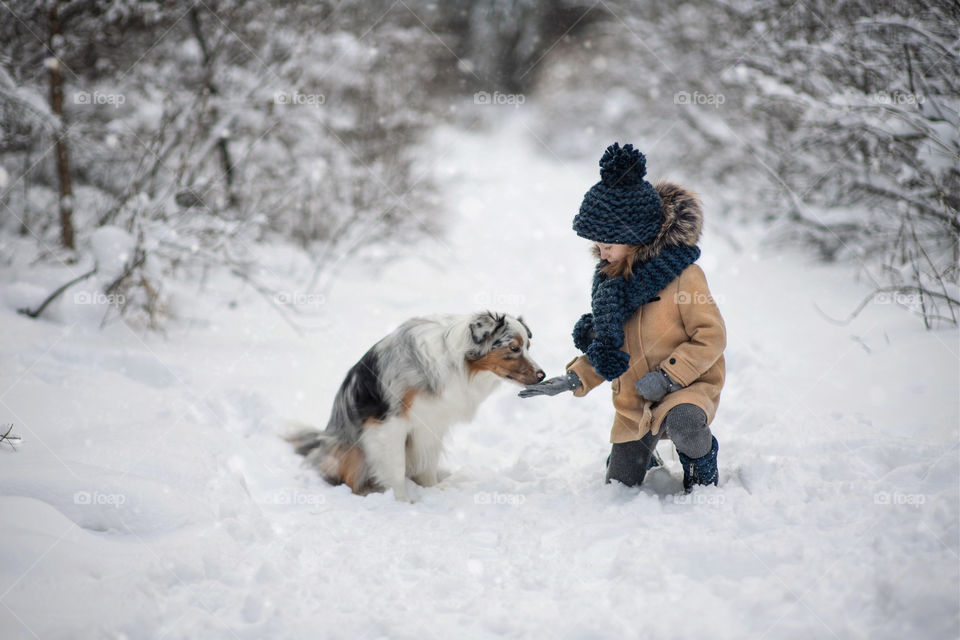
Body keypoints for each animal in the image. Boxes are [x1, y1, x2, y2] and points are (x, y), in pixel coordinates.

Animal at [284, 312, 544, 502]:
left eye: (528, 346)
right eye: (514, 348)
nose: (542, 374)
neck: (455, 363)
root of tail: (320, 442)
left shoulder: (433, 422)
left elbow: (428, 463)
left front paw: (432, 491)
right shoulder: (389, 424)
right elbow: (396, 467)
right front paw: (403, 501)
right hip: (353, 451)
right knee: (349, 479)